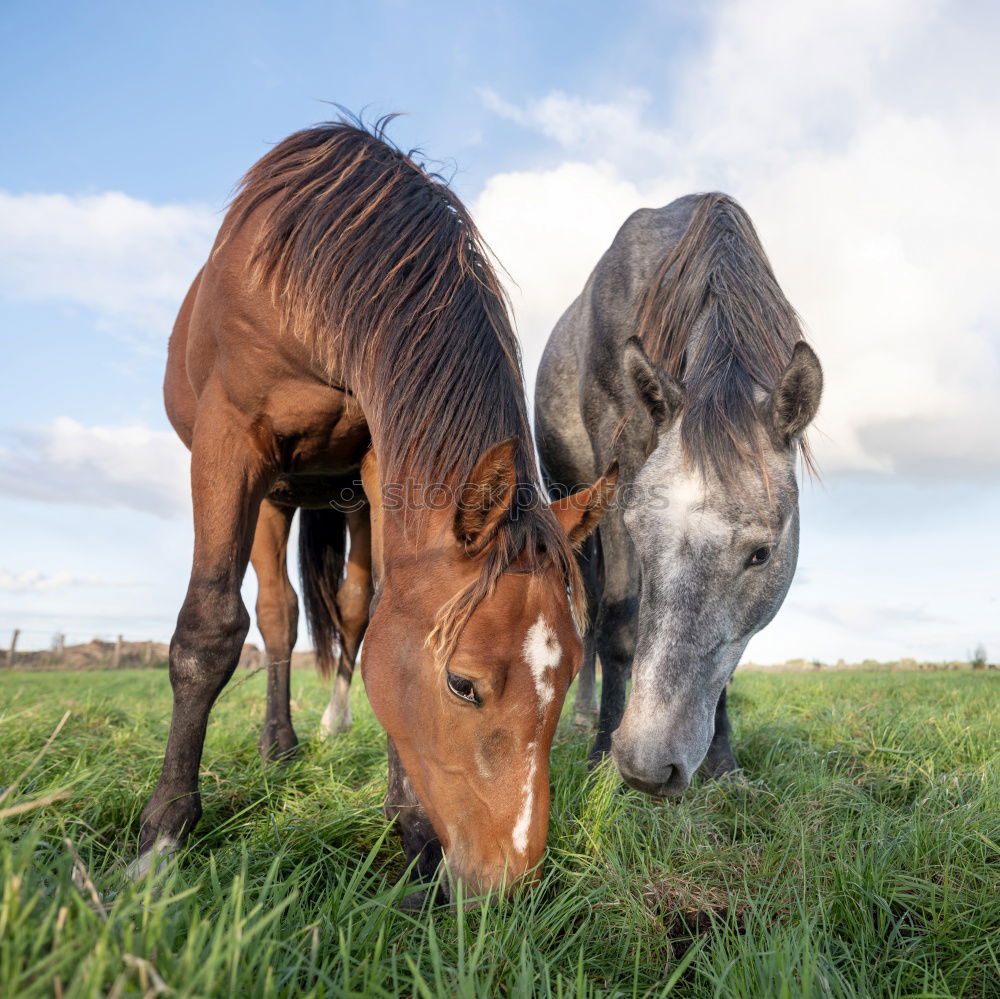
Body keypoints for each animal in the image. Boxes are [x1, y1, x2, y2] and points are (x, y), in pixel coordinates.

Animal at [133, 119, 616, 900]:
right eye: (463, 684)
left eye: (570, 674)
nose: (510, 885)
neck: (307, 280)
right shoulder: (226, 440)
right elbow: (208, 630)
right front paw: (163, 836)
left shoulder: (382, 463)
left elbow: (382, 611)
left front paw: (411, 828)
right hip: (270, 497)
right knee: (275, 613)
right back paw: (280, 745)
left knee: (349, 608)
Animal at [536, 191, 824, 792]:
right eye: (641, 536)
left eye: (762, 554)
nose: (648, 766)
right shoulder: (618, 468)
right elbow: (620, 622)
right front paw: (602, 759)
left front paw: (723, 762)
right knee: (589, 611)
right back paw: (585, 716)